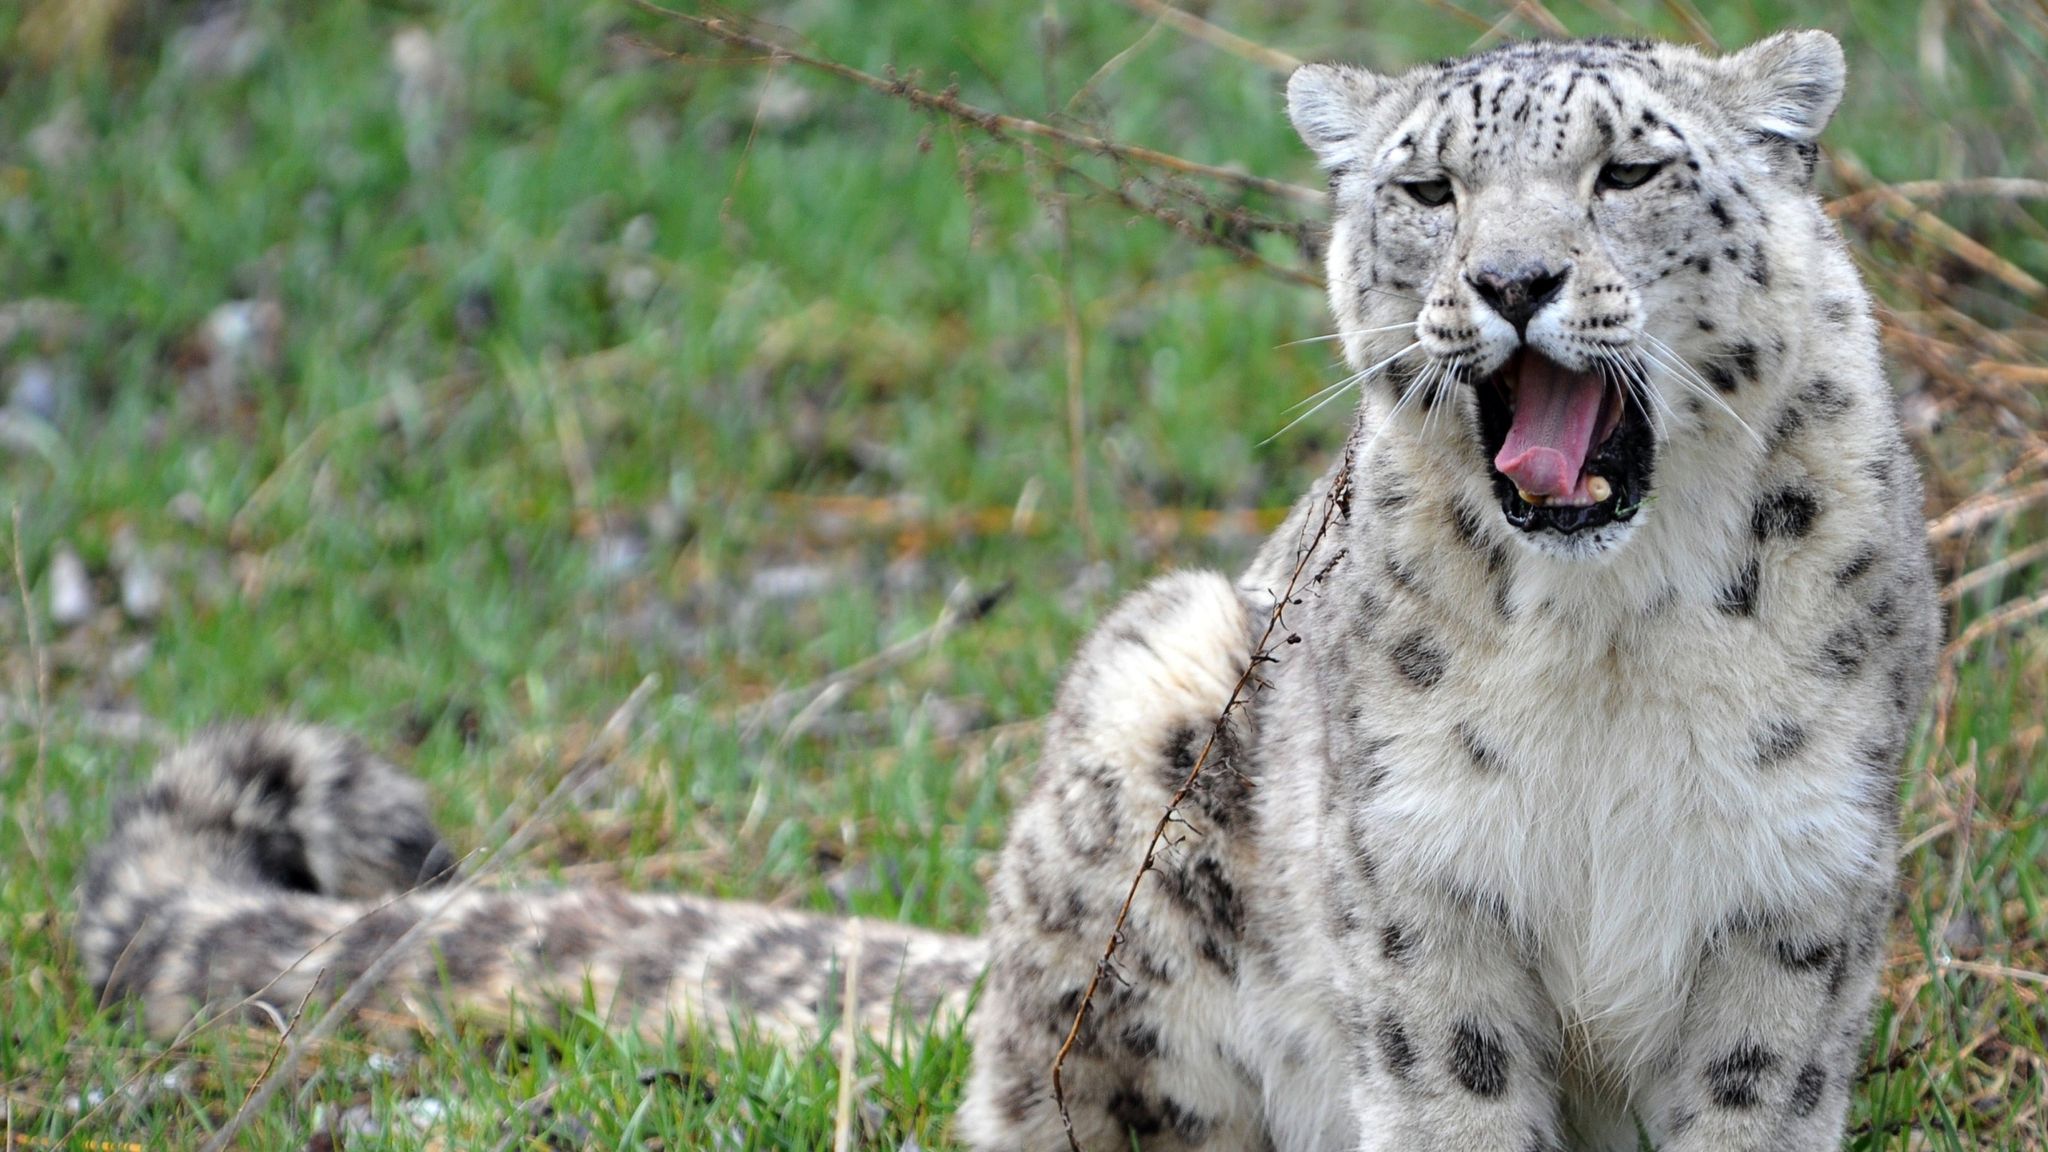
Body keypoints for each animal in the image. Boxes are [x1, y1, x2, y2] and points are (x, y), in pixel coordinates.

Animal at [76, 30, 1940, 1152]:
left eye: (1627, 172)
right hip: (1145, 730)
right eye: (1428, 187)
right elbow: (1460, 1101)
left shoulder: (1784, 914)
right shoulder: (1429, 917)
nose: (1513, 278)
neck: (1607, 652)